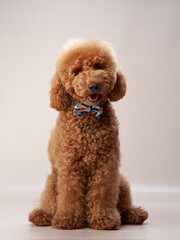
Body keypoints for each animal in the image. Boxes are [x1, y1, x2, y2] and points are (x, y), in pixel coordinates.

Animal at [29, 39, 148, 229]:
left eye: (98, 66)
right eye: (77, 71)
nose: (93, 85)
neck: (88, 113)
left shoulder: (106, 165)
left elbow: (102, 193)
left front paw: (104, 218)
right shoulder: (70, 166)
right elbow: (69, 194)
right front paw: (67, 219)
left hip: (122, 181)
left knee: (124, 204)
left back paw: (134, 214)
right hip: (52, 180)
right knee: (48, 201)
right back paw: (41, 216)